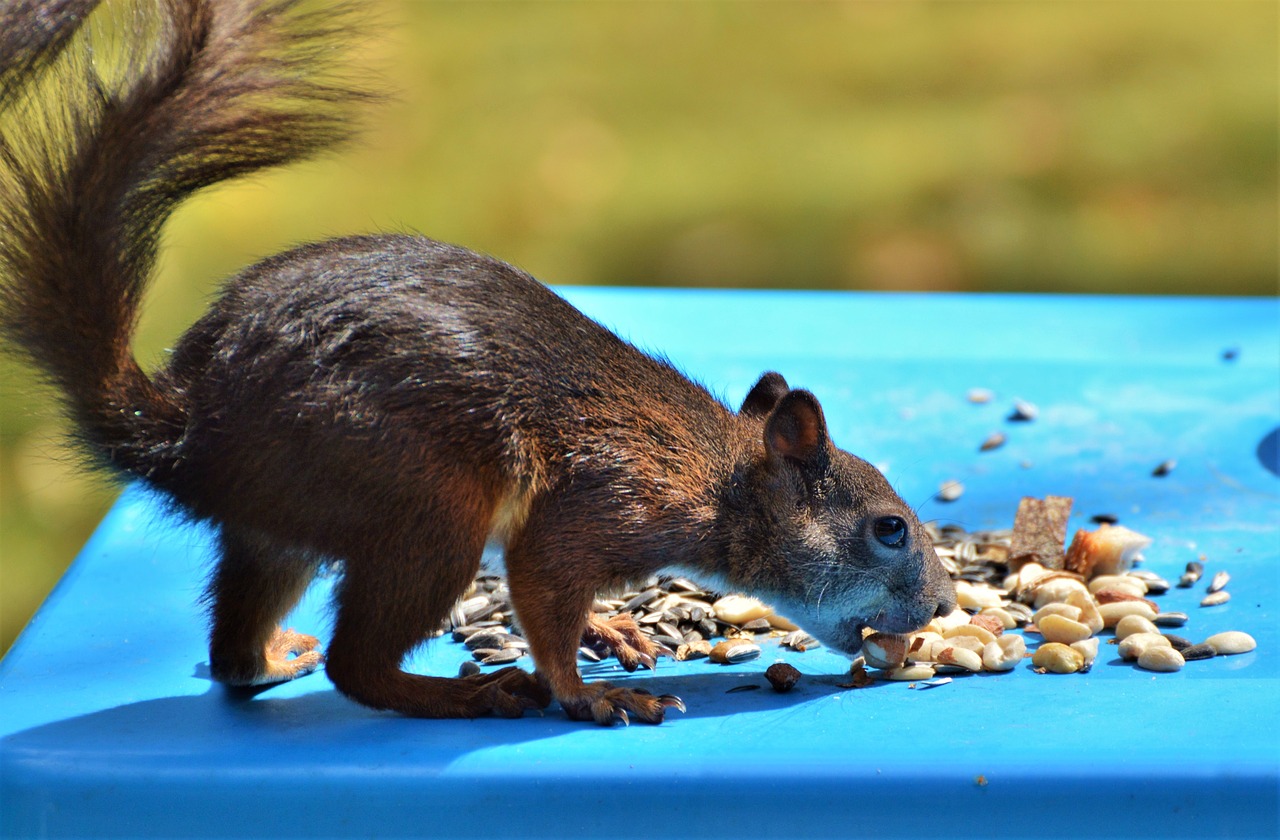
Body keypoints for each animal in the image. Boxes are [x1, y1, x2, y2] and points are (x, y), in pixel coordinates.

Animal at [0, 0, 952, 727]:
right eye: (889, 529)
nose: (942, 608)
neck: (716, 476)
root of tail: (193, 435)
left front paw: (614, 633)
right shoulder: (605, 503)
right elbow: (543, 582)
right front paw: (587, 691)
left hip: (279, 531)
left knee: (236, 653)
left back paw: (274, 654)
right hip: (423, 499)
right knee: (357, 665)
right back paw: (472, 694)